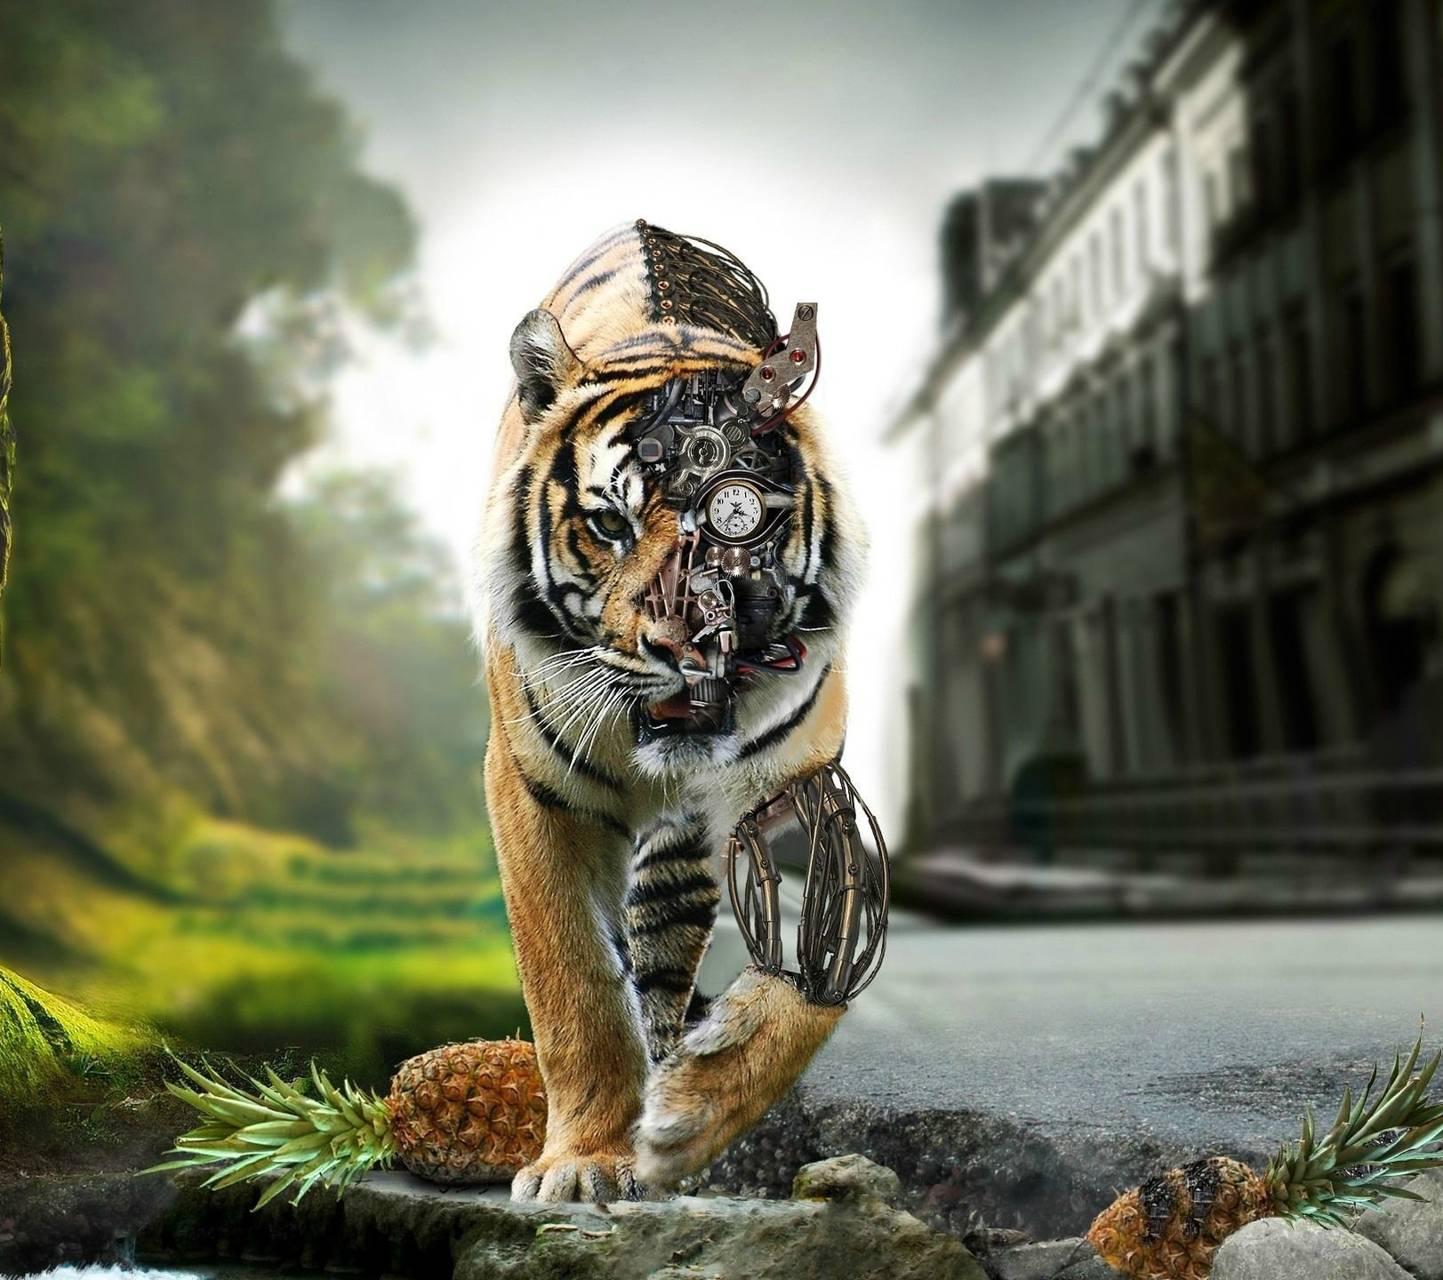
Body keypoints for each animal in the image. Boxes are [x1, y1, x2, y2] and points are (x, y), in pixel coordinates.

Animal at [475, 219, 867, 1202]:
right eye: (609, 526)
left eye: (738, 520)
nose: (686, 645)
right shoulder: (534, 790)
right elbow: (572, 980)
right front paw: (582, 1160)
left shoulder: (805, 787)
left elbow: (810, 977)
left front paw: (690, 1116)